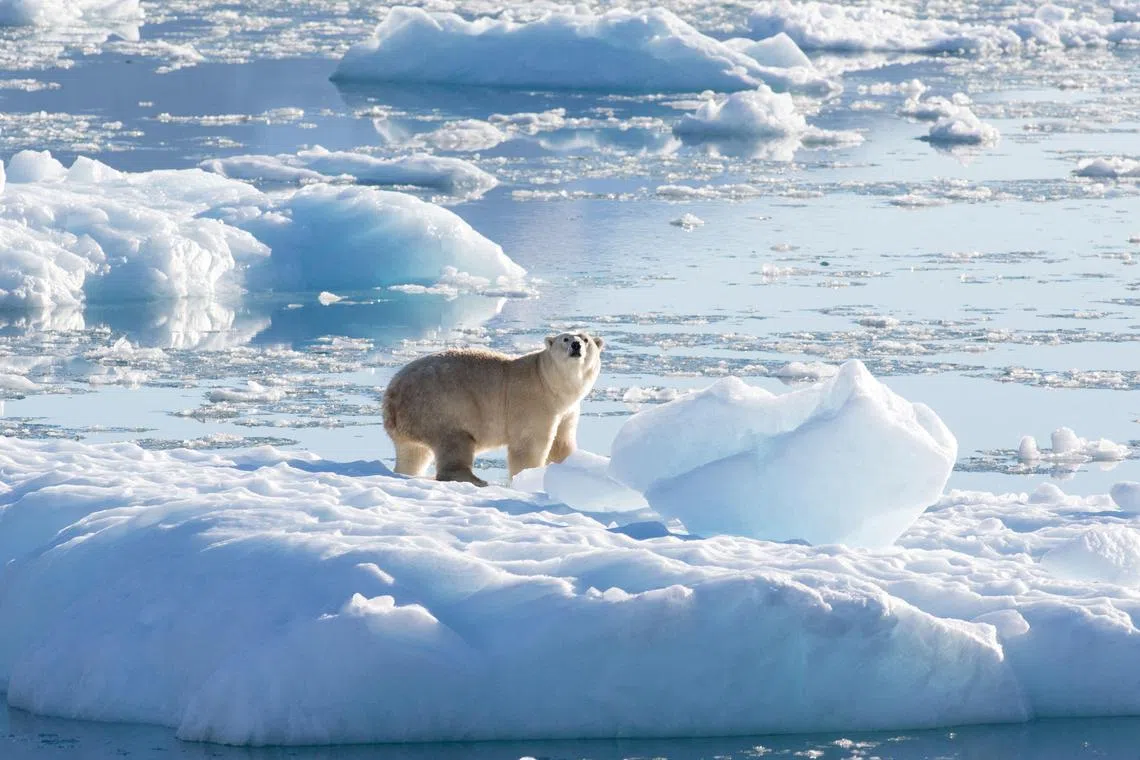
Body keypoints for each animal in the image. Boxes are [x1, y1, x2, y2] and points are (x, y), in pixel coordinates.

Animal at [382, 331, 604, 486]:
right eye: (565, 338)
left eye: (585, 339)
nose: (576, 345)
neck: (549, 381)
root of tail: (392, 394)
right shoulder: (534, 401)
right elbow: (529, 445)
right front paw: (528, 477)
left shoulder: (567, 410)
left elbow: (561, 443)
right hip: (441, 405)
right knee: (455, 442)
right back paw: (476, 479)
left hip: (412, 421)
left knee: (413, 453)